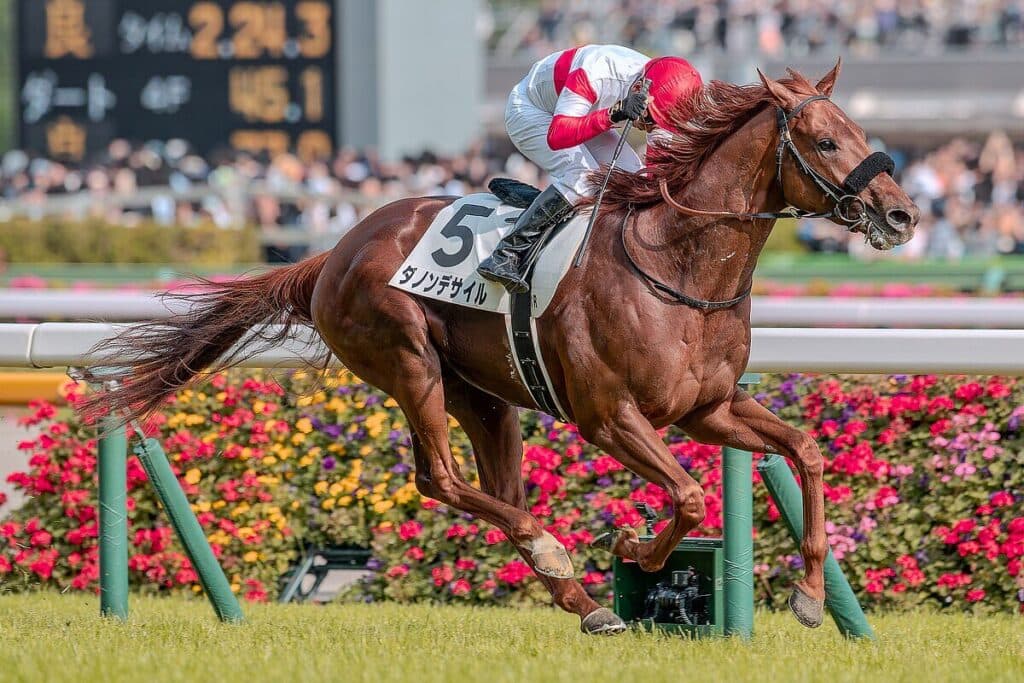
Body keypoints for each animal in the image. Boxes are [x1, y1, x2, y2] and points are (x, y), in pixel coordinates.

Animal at [87, 62, 918, 635]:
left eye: (865, 135)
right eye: (824, 139)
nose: (903, 214)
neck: (677, 264)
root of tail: (331, 253)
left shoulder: (707, 407)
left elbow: (806, 451)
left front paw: (806, 596)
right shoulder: (609, 416)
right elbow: (686, 494)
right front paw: (639, 552)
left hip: (484, 396)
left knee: (499, 486)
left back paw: (582, 598)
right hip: (408, 360)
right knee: (440, 477)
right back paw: (558, 555)